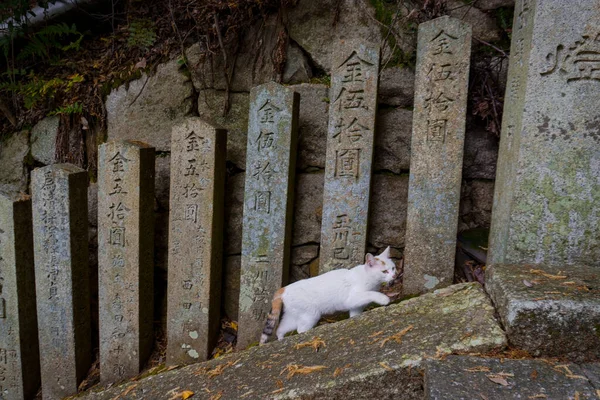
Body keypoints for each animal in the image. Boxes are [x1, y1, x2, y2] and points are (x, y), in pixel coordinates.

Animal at [258, 247, 396, 344]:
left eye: (393, 268)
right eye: (384, 271)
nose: (394, 275)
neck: (369, 278)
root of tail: (284, 288)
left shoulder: (356, 305)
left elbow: (355, 314)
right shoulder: (352, 298)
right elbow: (371, 293)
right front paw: (384, 299)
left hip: (293, 316)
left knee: (280, 329)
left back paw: (281, 339)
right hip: (310, 315)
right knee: (300, 330)